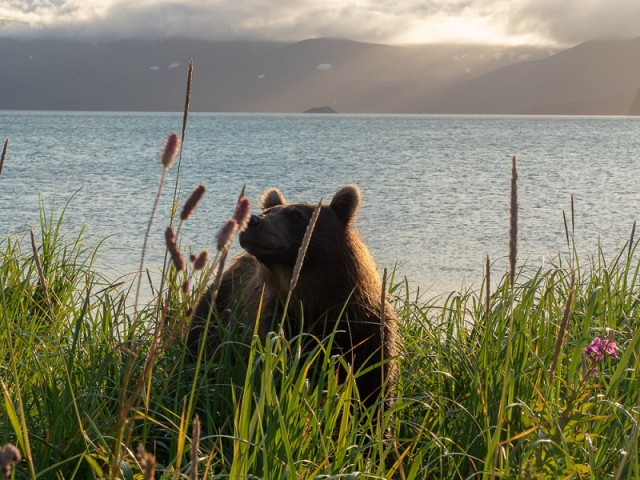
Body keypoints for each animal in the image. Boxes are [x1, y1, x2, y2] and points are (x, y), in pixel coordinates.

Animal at [188, 186, 398, 406]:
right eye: (268, 211)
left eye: (296, 215)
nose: (253, 220)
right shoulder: (280, 321)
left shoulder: (364, 329)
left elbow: (374, 387)